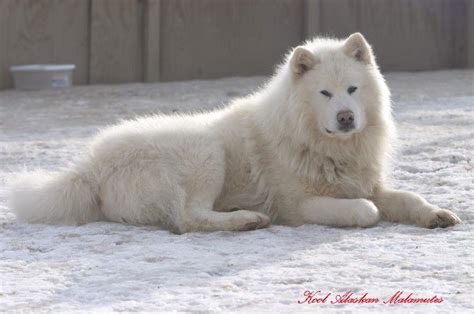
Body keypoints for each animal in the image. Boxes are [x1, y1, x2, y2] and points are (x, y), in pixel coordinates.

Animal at [9, 32, 462, 233]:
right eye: (325, 93)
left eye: (352, 89)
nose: (347, 117)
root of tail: (89, 168)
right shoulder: (299, 204)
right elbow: (366, 210)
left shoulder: (366, 182)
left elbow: (405, 198)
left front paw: (435, 213)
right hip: (205, 151)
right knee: (189, 218)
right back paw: (247, 220)